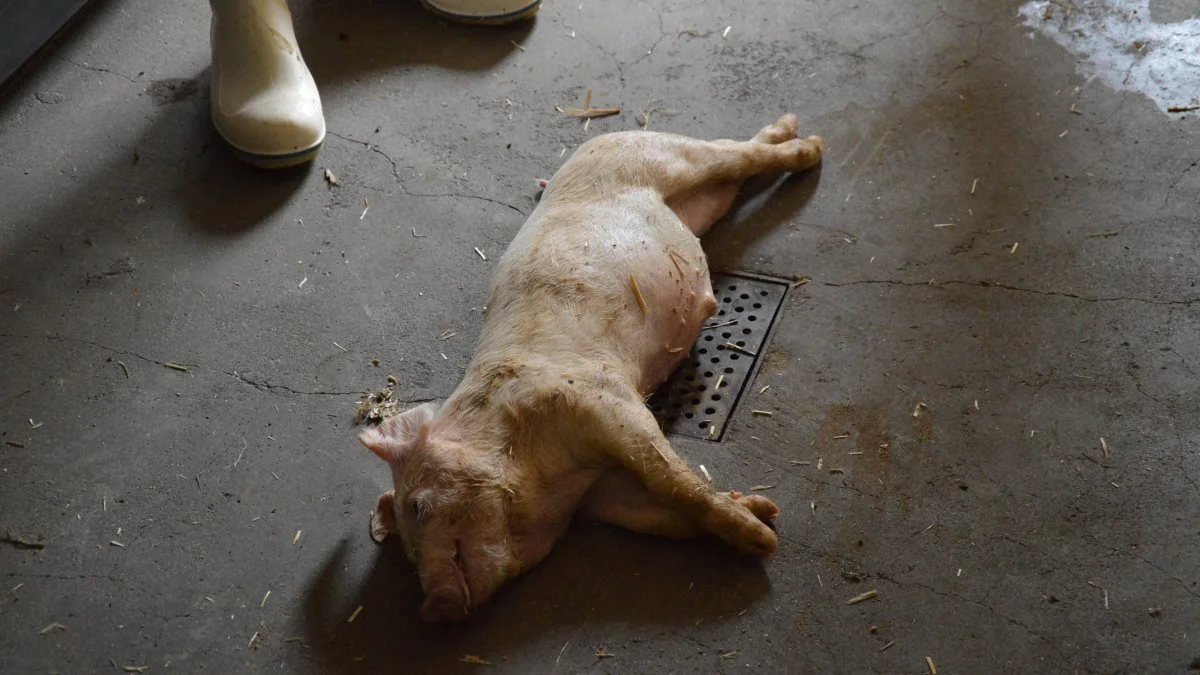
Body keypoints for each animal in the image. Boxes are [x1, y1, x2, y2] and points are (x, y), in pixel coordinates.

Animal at [360, 115, 824, 621]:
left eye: (419, 507)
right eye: (409, 553)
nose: (433, 607)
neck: (555, 478)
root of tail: (595, 141)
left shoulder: (603, 401)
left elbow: (675, 482)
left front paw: (763, 541)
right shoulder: (604, 496)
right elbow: (662, 516)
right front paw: (763, 511)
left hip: (666, 156)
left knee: (736, 152)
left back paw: (811, 147)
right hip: (707, 201)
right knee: (739, 166)